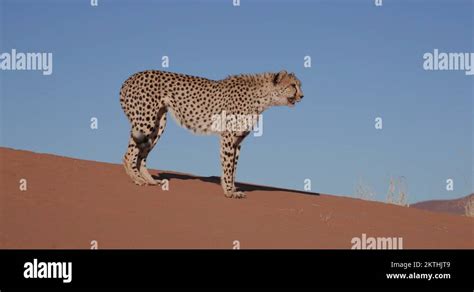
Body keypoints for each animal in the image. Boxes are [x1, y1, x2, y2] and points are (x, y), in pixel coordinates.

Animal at [119, 70, 304, 200]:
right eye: (293, 85)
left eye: (299, 85)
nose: (302, 96)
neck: (263, 97)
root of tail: (131, 77)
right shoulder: (228, 137)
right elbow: (228, 166)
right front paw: (229, 192)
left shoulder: (238, 140)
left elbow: (233, 167)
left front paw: (232, 189)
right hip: (145, 122)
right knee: (129, 154)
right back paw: (138, 180)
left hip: (158, 124)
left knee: (141, 155)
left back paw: (149, 180)